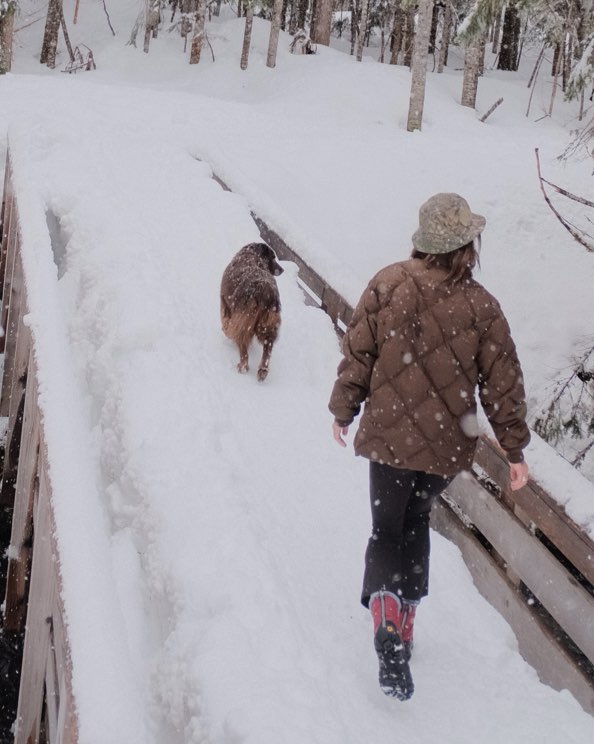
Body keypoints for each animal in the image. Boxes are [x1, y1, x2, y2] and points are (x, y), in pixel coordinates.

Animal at [220, 244, 282, 384]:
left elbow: (226, 324)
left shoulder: (225, 305)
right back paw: (263, 370)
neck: (252, 255)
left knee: (243, 345)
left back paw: (243, 366)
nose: (282, 269)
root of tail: (266, 292)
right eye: (273, 258)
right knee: (268, 345)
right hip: (269, 323)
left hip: (244, 321)